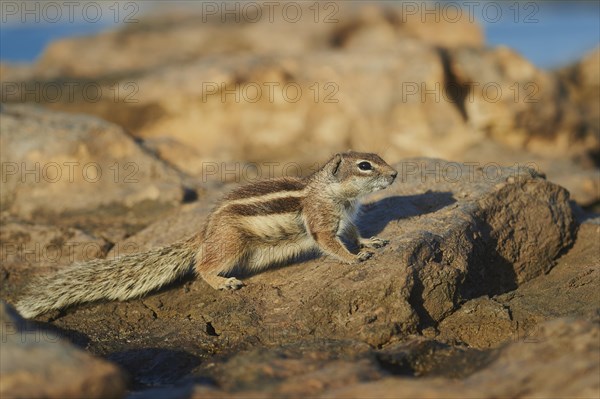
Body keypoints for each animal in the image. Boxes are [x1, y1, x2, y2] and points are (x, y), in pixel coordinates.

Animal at [15, 152, 398, 318]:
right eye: (365, 166)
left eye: (377, 156)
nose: (395, 174)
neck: (334, 193)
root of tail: (205, 230)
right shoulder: (320, 221)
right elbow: (329, 243)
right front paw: (355, 257)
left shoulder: (345, 219)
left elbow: (353, 231)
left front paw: (369, 242)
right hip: (231, 245)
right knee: (202, 265)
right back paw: (221, 282)